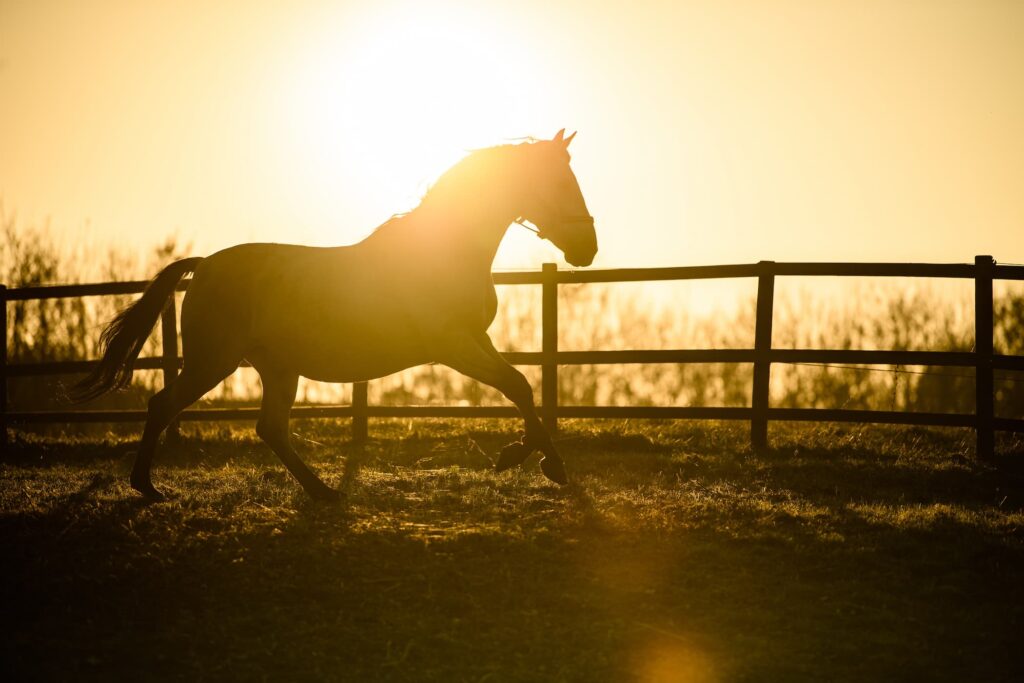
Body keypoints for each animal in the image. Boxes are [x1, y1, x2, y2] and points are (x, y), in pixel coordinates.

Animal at [73, 130, 597, 500]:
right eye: (558, 181)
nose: (587, 249)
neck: (445, 251)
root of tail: (203, 267)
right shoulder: (452, 345)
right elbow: (516, 385)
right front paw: (543, 464)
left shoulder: (476, 340)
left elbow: (521, 387)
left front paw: (528, 458)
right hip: (213, 361)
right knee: (164, 405)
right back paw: (147, 487)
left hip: (277, 368)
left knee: (270, 428)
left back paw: (323, 492)